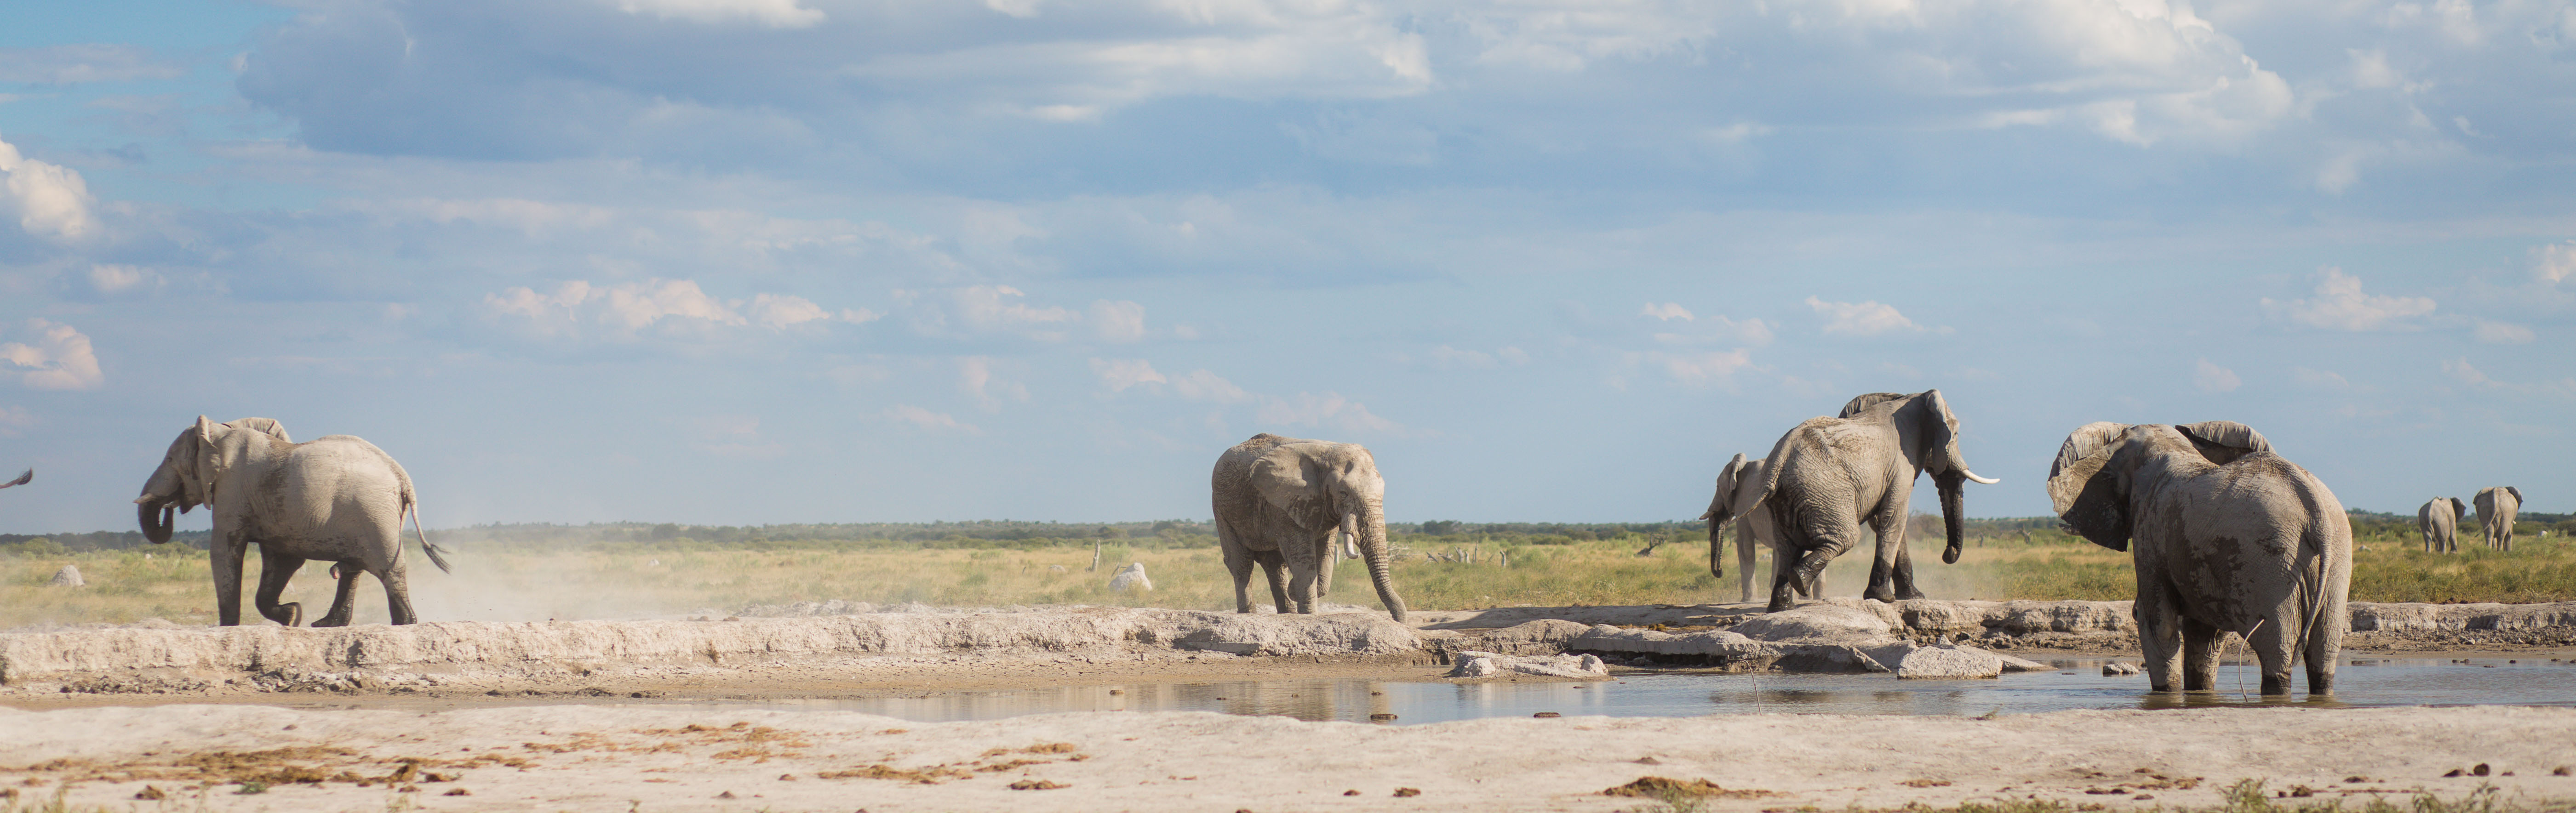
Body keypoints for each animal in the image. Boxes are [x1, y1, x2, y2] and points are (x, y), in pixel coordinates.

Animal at [134, 416, 452, 626]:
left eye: (170, 460)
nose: (170, 505)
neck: (218, 432)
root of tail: (403, 478)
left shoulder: (231, 492)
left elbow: (225, 550)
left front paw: (230, 628)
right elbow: (282, 561)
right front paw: (293, 616)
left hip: (373, 513)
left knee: (388, 570)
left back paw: (405, 624)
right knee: (355, 568)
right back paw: (326, 624)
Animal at [1210, 433, 1407, 621]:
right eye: (1343, 493)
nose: (1396, 620)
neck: (1327, 452)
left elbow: (1326, 554)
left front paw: (1296, 593)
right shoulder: (1283, 501)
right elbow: (1302, 556)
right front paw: (1308, 614)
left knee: (1275, 567)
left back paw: (1288, 612)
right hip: (1221, 507)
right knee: (1241, 564)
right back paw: (1249, 613)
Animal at [1705, 390, 1999, 612]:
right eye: (1956, 435)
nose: (1947, 555)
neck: (1912, 396)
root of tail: (1779, 456)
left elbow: (1888, 522)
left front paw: (1913, 597)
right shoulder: (1900, 465)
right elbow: (1894, 517)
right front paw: (1885, 599)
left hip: (1785, 499)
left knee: (1787, 547)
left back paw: (1782, 606)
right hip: (1824, 491)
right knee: (1846, 538)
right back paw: (1800, 581)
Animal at [2047, 420, 2352, 697]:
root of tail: (2314, 509)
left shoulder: (2149, 528)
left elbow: (2157, 622)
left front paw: (2167, 694)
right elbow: (2206, 635)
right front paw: (2198, 694)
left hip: (2270, 565)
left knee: (2276, 646)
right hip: (2337, 557)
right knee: (2325, 648)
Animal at [2474, 487, 2522, 552]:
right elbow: (2509, 533)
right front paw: (2508, 552)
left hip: (2484, 509)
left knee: (2489, 532)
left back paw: (2488, 550)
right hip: (2507, 512)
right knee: (2502, 533)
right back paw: (2500, 551)